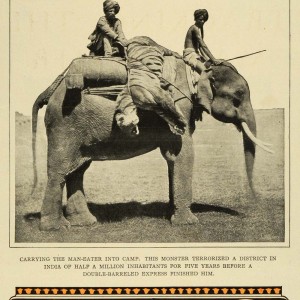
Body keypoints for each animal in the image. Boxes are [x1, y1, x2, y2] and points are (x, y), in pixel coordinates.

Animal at [31, 37, 272, 231]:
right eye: (238, 96)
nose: (255, 199)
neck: (197, 69)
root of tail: (50, 91)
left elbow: (173, 157)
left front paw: (171, 215)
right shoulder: (179, 104)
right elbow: (184, 153)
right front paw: (188, 223)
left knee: (78, 170)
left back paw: (84, 223)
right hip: (64, 124)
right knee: (60, 172)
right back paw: (56, 228)